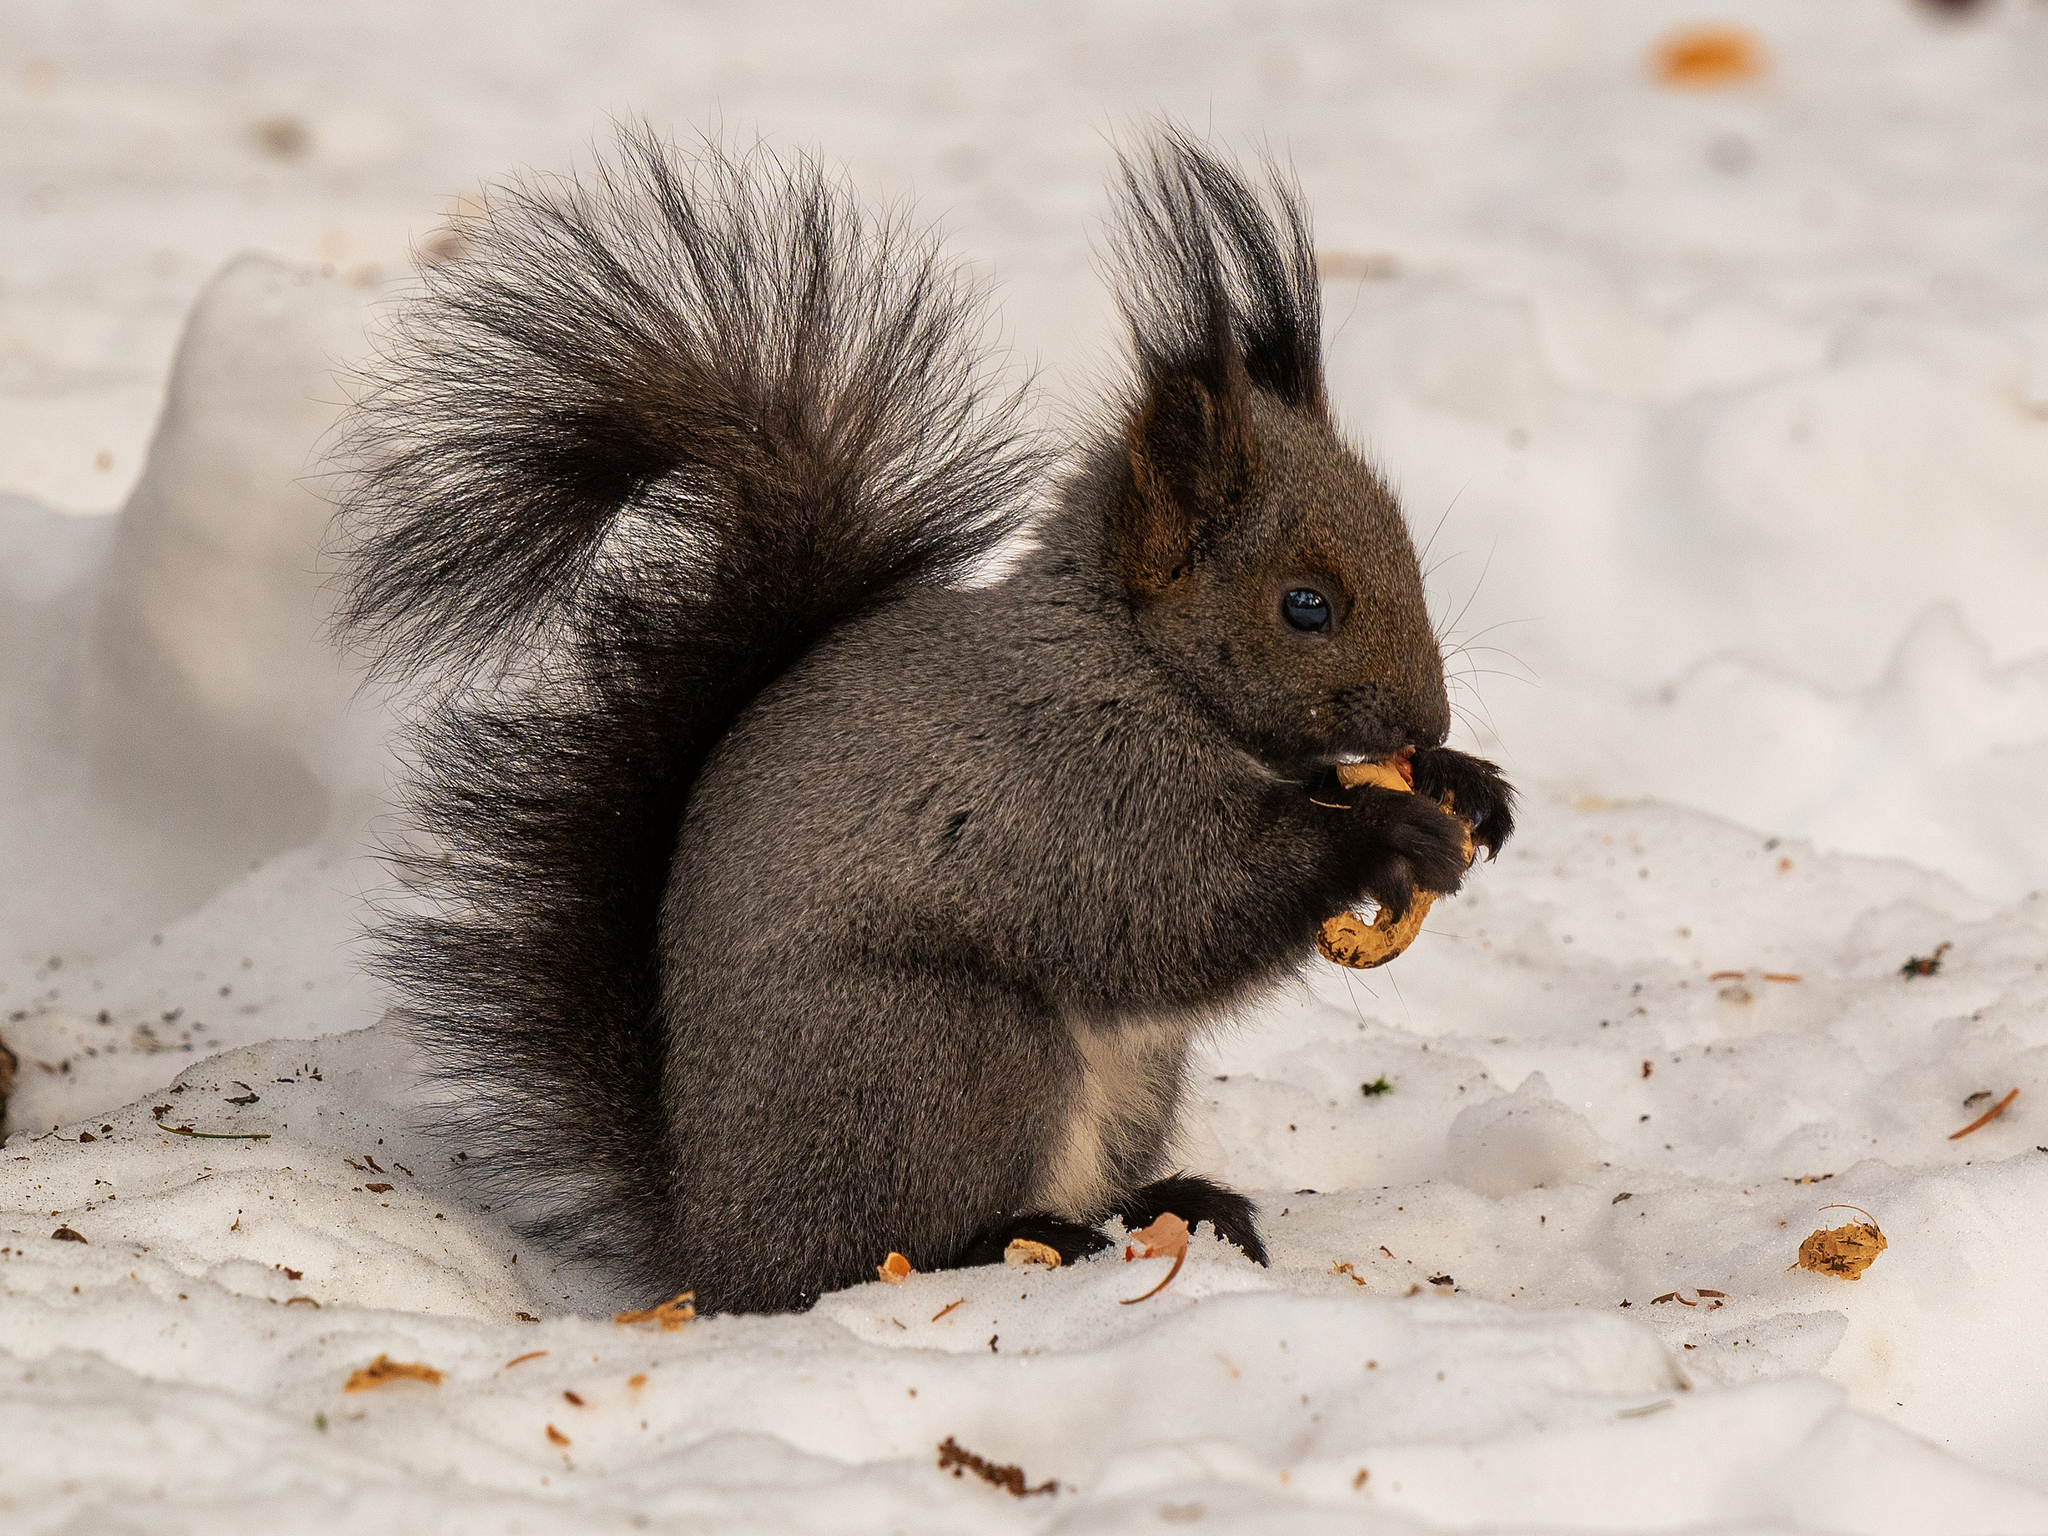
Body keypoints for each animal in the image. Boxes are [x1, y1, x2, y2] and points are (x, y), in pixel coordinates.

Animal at [335, 126, 1515, 1318]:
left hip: (1124, 1078)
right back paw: (1014, 1239)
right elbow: (1170, 901)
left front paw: (1467, 785)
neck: (1132, 658)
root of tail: (715, 1242)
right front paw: (1378, 836)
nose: (1425, 718)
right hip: (942, 1051)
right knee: (892, 1243)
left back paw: (1174, 1205)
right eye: (1305, 606)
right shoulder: (1069, 782)